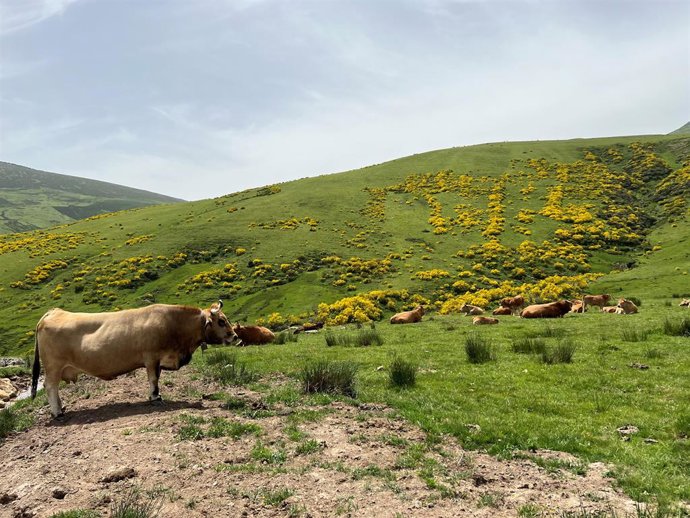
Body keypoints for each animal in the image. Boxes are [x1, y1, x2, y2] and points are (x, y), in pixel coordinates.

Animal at [32, 300, 236, 418]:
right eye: (221, 321)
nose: (234, 336)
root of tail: (54, 312)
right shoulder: (151, 358)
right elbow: (153, 379)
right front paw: (155, 397)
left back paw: (61, 408)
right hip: (53, 367)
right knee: (50, 387)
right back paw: (57, 412)